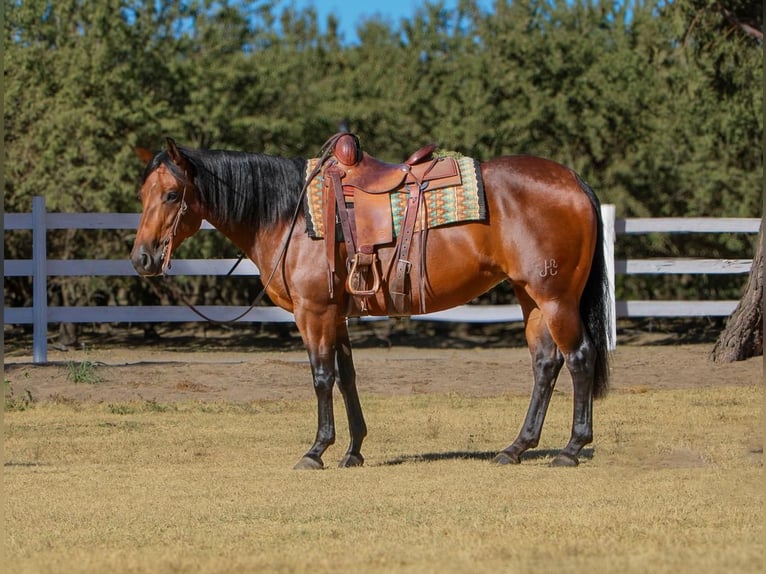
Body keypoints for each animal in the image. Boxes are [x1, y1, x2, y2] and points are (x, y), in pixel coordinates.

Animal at [130, 137, 612, 470]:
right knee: (545, 364)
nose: (142, 258)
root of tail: (574, 181)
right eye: (142, 195)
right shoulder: (337, 314)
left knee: (579, 357)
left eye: (171, 195)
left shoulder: (314, 312)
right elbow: (346, 377)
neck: (290, 216)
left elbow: (321, 377)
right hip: (531, 297)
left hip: (555, 298)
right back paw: (516, 448)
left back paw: (571, 448)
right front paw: (354, 449)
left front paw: (316, 450)